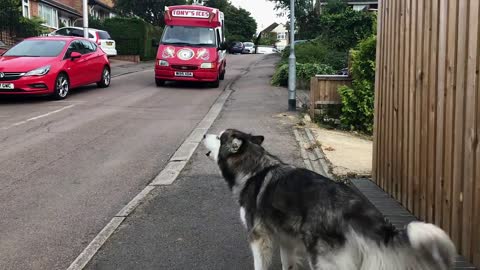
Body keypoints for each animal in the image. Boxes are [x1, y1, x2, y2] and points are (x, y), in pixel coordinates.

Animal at [202, 129, 458, 270]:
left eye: (219, 136)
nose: (204, 134)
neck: (255, 168)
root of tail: (354, 205)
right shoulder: (286, 238)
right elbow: (287, 264)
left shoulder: (259, 237)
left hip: (323, 258)